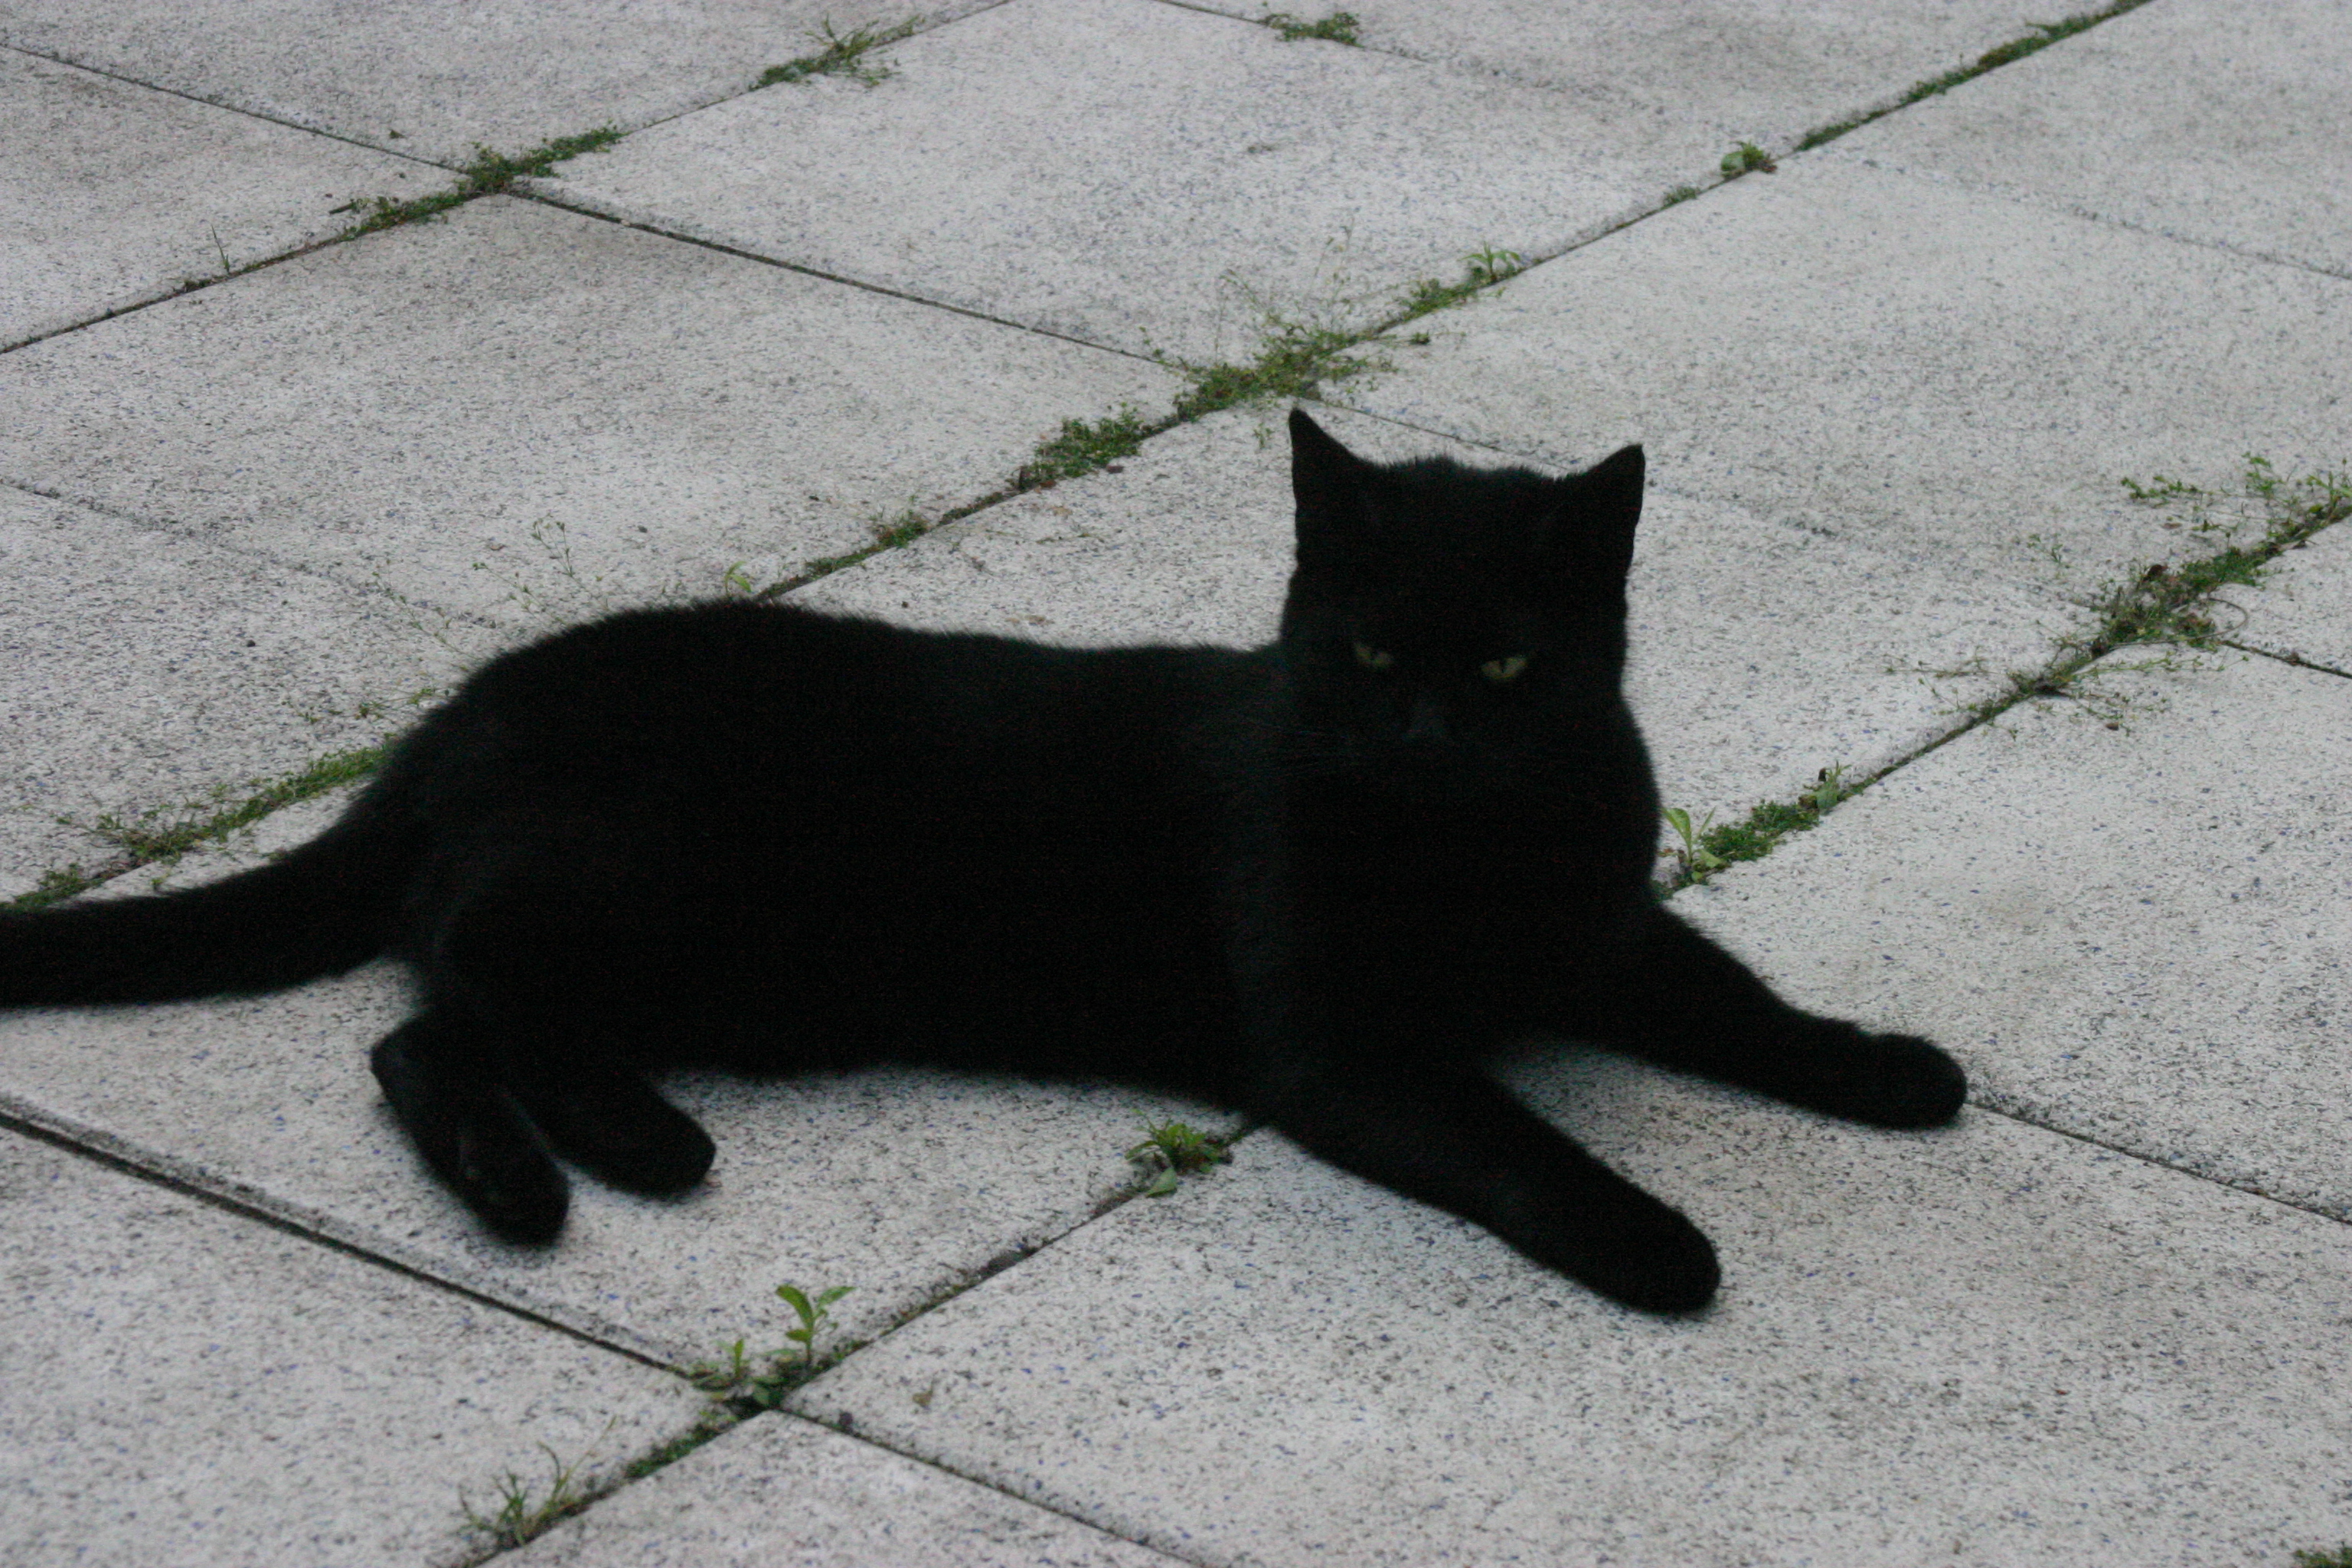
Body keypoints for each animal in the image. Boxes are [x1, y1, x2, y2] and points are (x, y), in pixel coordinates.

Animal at [0, 409, 1963, 1314]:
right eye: (1364, 654)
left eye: (1502, 671)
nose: (1419, 733)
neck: (1465, 859)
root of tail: (459, 710)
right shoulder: (1341, 1051)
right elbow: (1515, 1141)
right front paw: (1654, 1237)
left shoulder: (1605, 929)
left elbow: (1742, 1003)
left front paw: (1890, 1070)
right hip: (672, 892)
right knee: (447, 991)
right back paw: (612, 1156)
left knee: (427, 1023)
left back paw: (545, 1172)